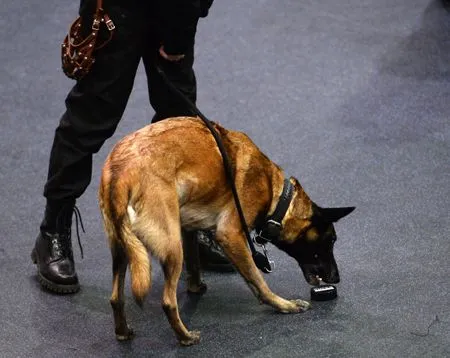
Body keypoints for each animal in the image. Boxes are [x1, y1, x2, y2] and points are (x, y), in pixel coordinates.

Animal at [98, 117, 356, 344]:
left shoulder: (187, 229)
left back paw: (122, 331)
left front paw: (195, 287)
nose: (337, 278)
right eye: (331, 240)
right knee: (168, 302)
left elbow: (194, 264)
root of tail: (121, 171)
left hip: (123, 247)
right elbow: (257, 280)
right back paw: (185, 337)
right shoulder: (230, 235)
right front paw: (284, 305)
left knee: (115, 297)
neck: (275, 194)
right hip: (171, 249)